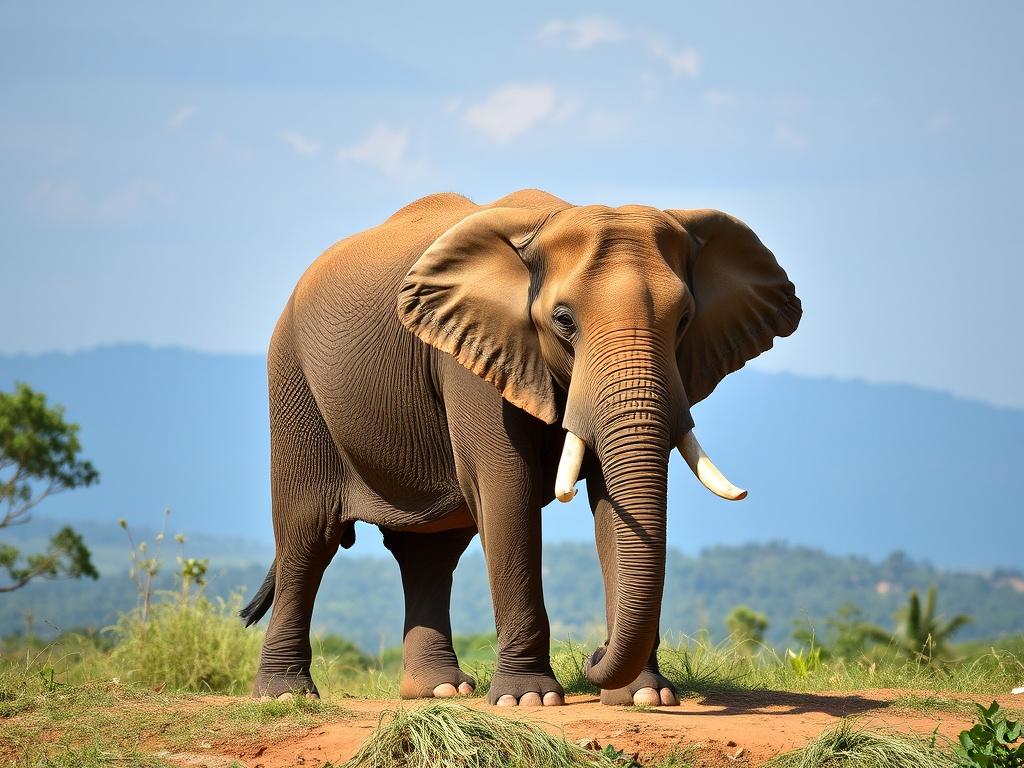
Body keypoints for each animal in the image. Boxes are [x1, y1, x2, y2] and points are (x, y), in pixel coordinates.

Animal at [239, 188, 801, 707]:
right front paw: (527, 699)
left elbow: (609, 504)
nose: (594, 655)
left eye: (684, 320)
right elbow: (508, 489)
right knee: (309, 535)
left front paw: (645, 697)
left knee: (430, 551)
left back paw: (440, 691)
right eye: (564, 320)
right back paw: (286, 695)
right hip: (293, 381)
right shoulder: (471, 360)